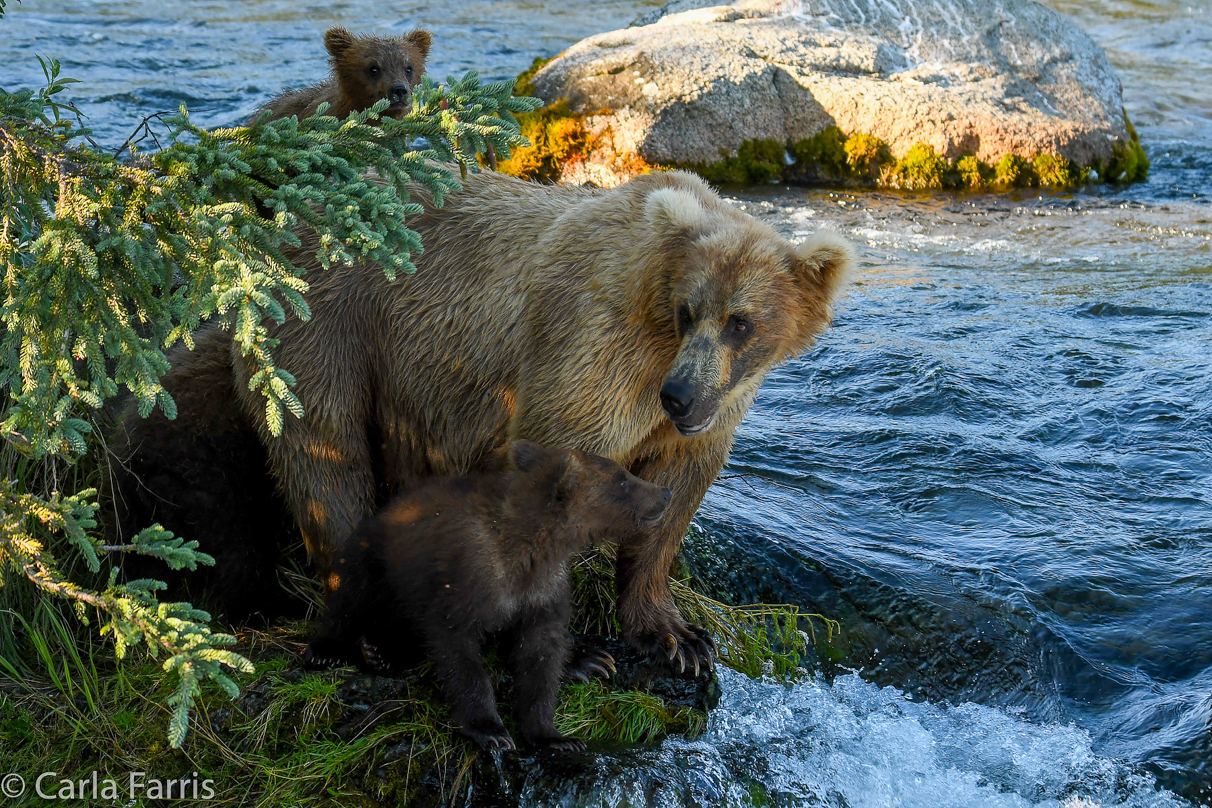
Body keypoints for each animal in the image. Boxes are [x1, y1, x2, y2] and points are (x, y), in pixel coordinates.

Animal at [111, 169, 853, 668]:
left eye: (740, 322)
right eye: (690, 309)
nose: (681, 397)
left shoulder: (699, 416)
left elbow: (670, 501)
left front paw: (675, 636)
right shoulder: (590, 354)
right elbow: (553, 471)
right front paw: (578, 653)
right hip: (331, 325)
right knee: (323, 457)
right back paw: (368, 623)